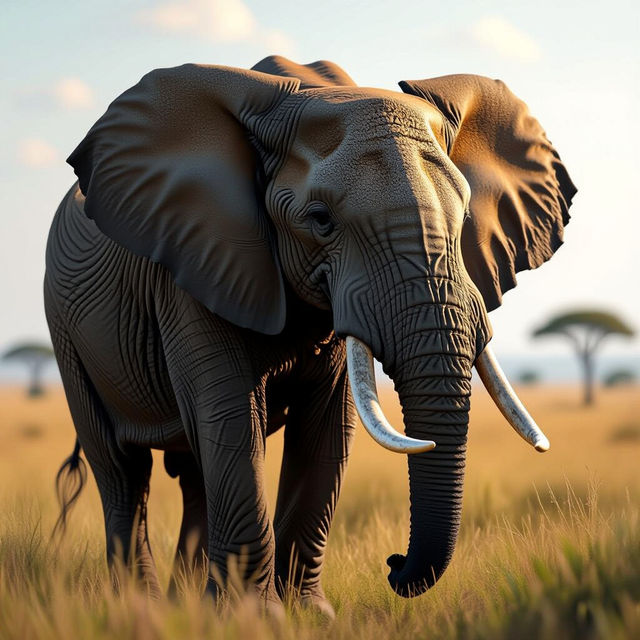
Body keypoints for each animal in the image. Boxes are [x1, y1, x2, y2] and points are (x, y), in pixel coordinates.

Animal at [45, 55, 576, 614]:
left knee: (191, 473)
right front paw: (249, 619)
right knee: (123, 472)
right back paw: (142, 608)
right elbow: (231, 420)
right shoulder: (194, 263)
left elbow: (328, 427)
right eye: (320, 220)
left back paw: (183, 606)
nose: (393, 564)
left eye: (466, 216)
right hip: (66, 332)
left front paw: (307, 615)